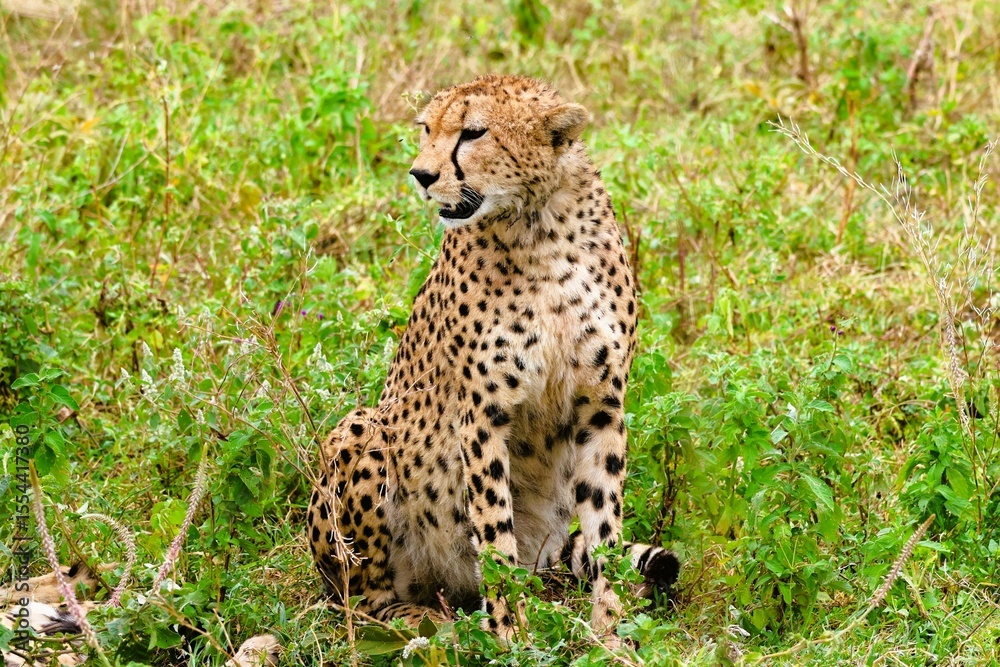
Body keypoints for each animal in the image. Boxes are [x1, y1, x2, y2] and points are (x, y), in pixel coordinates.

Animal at [306, 74, 679, 640]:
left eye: (473, 133)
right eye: (426, 128)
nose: (421, 175)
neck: (540, 225)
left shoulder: (600, 407)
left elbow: (603, 529)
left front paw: (610, 633)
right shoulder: (481, 415)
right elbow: (494, 530)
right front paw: (512, 636)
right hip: (362, 431)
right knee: (361, 598)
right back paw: (423, 621)